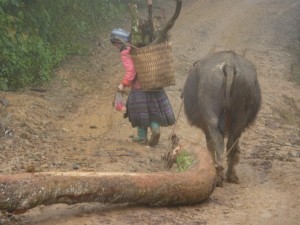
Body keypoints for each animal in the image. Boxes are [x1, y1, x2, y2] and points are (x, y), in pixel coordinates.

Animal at [182, 51, 262, 186]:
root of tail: (229, 65)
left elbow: (209, 145)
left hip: (211, 115)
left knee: (217, 141)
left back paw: (218, 174)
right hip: (240, 117)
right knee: (231, 144)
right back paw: (230, 175)